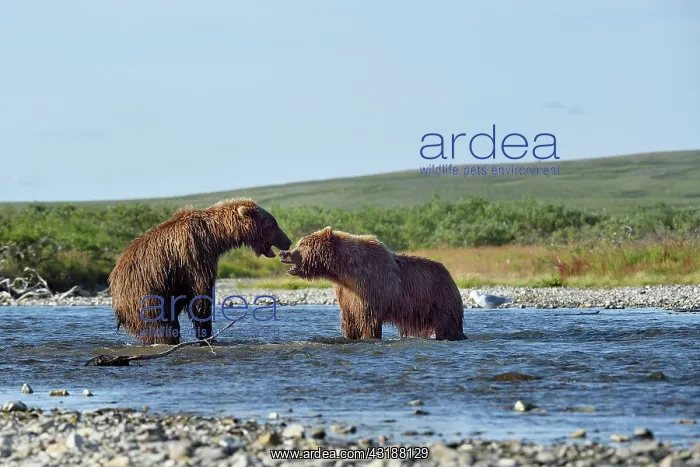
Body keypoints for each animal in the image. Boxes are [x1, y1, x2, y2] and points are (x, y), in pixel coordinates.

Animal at [108, 198, 292, 345]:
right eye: (273, 224)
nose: (288, 241)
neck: (215, 237)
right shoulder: (195, 256)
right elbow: (200, 297)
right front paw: (206, 335)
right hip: (147, 295)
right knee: (161, 325)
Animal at [279, 227, 467, 341]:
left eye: (303, 244)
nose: (283, 253)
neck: (346, 272)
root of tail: (448, 273)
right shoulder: (346, 295)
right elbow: (350, 320)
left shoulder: (370, 290)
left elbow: (368, 320)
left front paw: (368, 336)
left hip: (439, 299)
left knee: (447, 325)